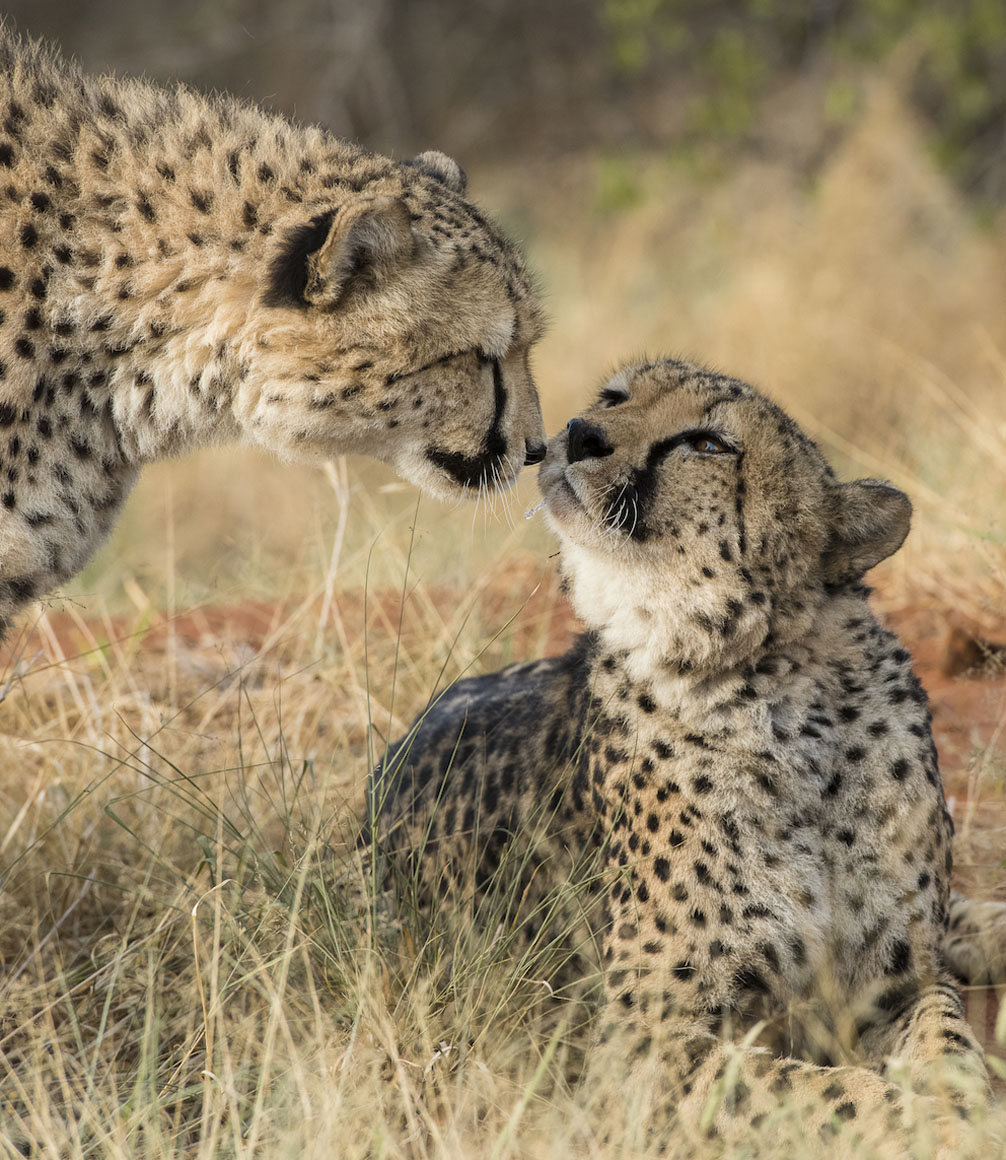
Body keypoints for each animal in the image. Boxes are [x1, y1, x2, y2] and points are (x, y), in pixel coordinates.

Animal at [368, 357, 994, 1155]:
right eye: (615, 398)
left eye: (707, 443)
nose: (579, 433)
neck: (783, 689)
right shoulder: (644, 1044)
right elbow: (807, 1093)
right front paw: (917, 1124)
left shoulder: (903, 978)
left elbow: (950, 1046)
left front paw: (956, 1113)